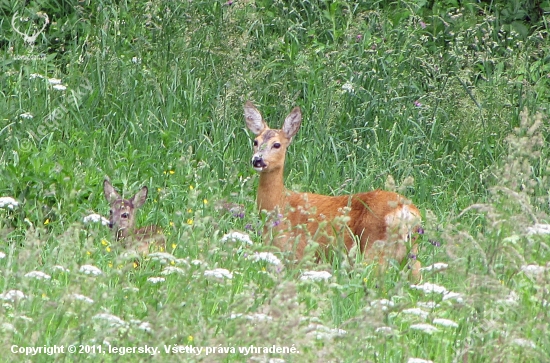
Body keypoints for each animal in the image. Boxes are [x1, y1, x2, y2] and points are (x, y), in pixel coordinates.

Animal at [245, 102, 422, 282]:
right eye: (255, 141)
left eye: (277, 144)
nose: (257, 160)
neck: (281, 203)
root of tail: (405, 212)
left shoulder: (299, 253)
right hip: (410, 253)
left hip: (373, 247)